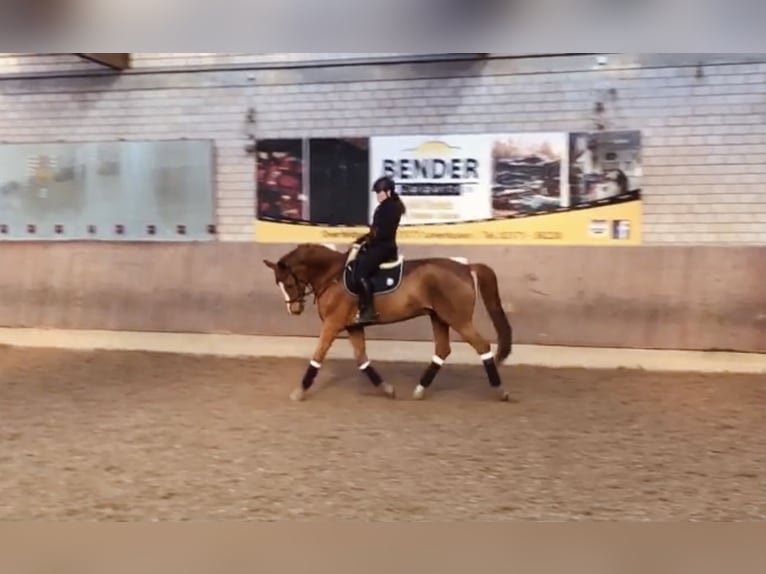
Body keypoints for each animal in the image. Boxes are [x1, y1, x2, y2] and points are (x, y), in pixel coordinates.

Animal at [262, 242, 513, 402]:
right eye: (279, 284)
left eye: (289, 283)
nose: (294, 309)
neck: (332, 275)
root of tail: (466, 267)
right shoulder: (353, 326)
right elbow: (361, 358)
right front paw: (387, 389)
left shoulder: (332, 324)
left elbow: (318, 356)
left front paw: (299, 392)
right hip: (439, 317)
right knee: (442, 350)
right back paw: (419, 390)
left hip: (458, 319)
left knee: (482, 346)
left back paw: (501, 391)